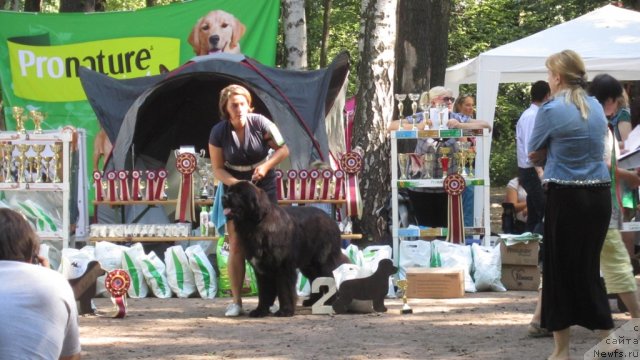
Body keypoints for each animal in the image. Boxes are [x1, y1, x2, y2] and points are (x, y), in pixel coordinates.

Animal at [221, 181, 350, 316]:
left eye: (239, 193)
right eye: (229, 191)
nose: (223, 197)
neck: (255, 225)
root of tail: (331, 220)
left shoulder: (283, 266)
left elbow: (285, 290)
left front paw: (285, 310)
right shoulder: (261, 269)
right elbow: (264, 292)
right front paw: (260, 310)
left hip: (323, 261)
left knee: (329, 278)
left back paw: (330, 303)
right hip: (308, 264)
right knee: (314, 279)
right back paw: (312, 301)